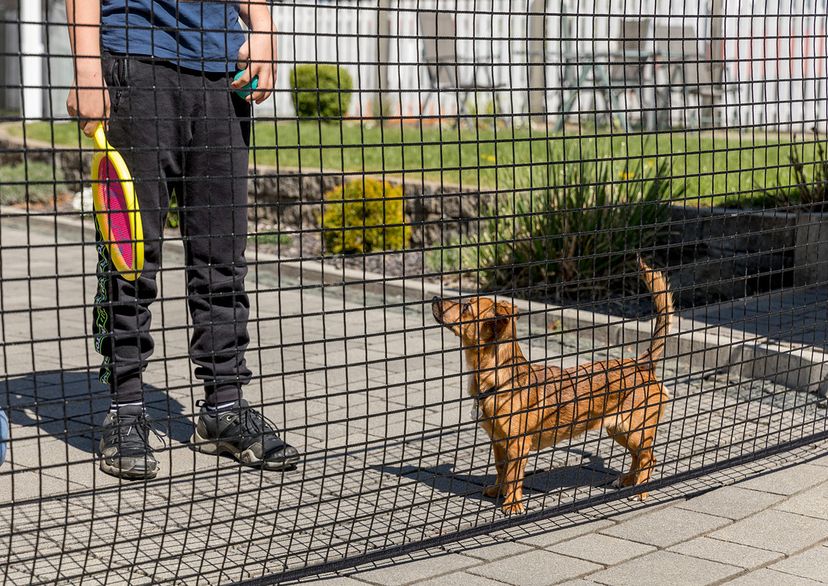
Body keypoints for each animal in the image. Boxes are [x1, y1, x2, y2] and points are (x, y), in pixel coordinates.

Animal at [434, 258, 672, 512]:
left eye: (466, 308)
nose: (435, 299)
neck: (500, 379)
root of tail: (642, 363)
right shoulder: (497, 442)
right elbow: (500, 468)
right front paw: (498, 491)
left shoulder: (517, 445)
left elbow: (513, 475)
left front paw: (512, 504)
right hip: (619, 430)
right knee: (638, 458)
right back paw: (627, 481)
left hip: (637, 431)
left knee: (648, 459)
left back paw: (640, 490)